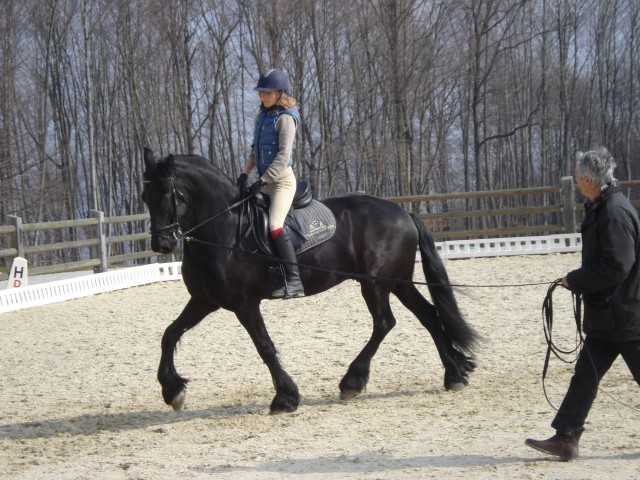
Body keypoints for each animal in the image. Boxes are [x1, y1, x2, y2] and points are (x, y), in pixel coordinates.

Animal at [142, 147, 478, 412]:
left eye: (168, 194)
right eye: (145, 196)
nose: (161, 244)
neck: (224, 228)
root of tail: (403, 212)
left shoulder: (245, 304)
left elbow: (264, 346)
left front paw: (285, 398)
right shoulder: (204, 300)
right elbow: (169, 334)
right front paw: (172, 391)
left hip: (375, 284)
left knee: (385, 323)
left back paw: (352, 381)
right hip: (397, 282)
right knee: (429, 315)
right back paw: (454, 374)